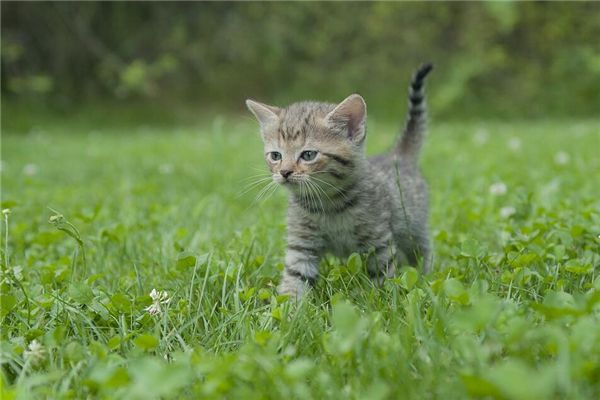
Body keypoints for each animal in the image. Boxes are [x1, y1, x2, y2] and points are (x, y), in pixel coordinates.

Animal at [246, 64, 434, 298]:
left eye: (308, 155)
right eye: (275, 156)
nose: (285, 172)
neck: (329, 204)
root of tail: (396, 155)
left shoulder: (378, 240)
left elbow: (382, 275)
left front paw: (383, 299)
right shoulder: (302, 244)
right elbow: (295, 277)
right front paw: (288, 306)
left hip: (412, 228)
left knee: (423, 248)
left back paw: (427, 274)